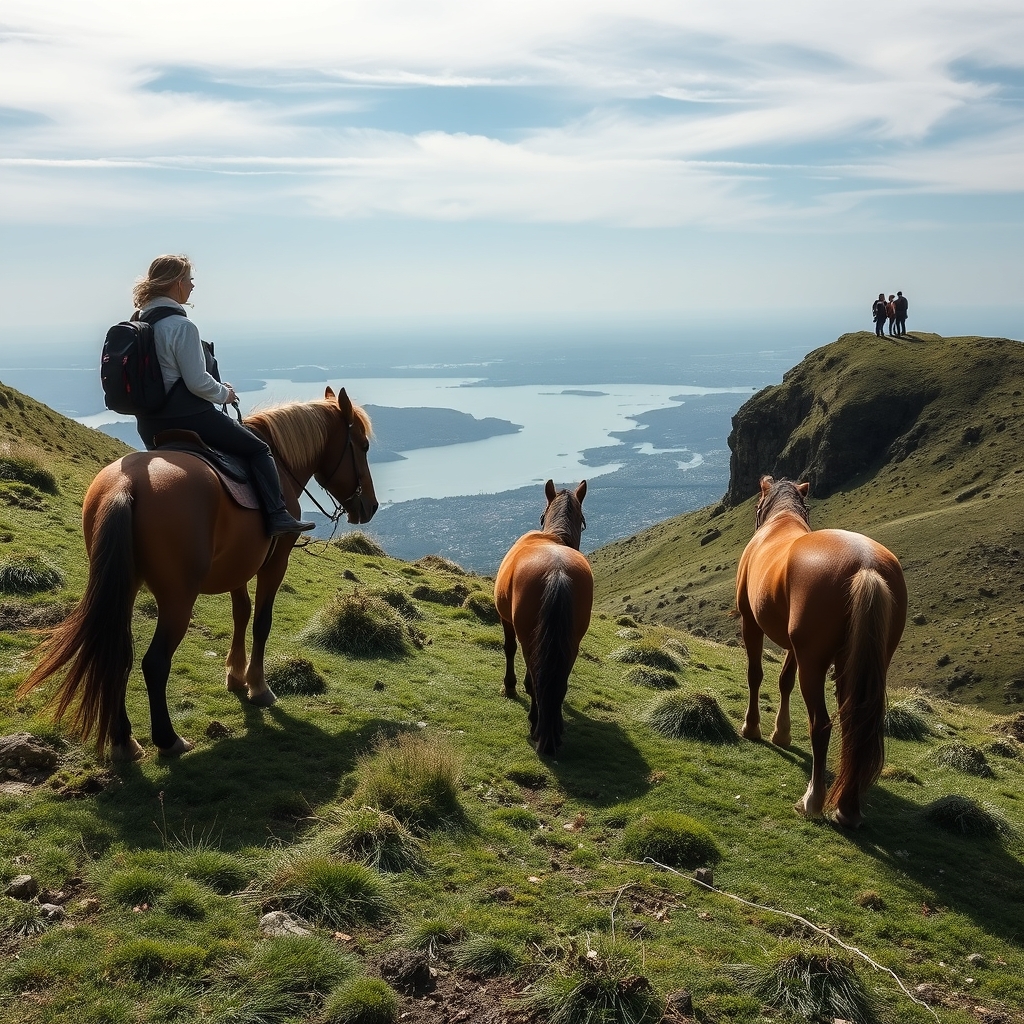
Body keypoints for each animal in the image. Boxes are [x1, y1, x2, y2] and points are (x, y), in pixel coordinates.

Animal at [19, 387, 377, 761]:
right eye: (363, 445)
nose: (371, 506)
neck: (279, 464)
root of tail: (125, 485)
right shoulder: (275, 561)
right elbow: (261, 622)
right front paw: (258, 686)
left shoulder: (238, 564)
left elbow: (241, 613)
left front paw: (236, 675)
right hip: (178, 598)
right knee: (154, 662)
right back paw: (168, 739)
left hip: (124, 586)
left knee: (118, 655)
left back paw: (124, 741)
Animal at [494, 479, 592, 755]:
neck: (554, 538)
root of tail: (557, 571)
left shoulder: (506, 620)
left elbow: (508, 649)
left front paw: (510, 686)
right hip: (572, 641)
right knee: (559, 679)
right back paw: (554, 727)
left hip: (530, 640)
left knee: (535, 677)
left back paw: (537, 723)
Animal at [735, 476, 907, 827]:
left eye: (757, 506)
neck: (780, 523)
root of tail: (866, 565)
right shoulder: (793, 647)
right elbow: (784, 681)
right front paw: (781, 733)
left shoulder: (751, 624)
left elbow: (756, 675)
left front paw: (753, 727)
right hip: (858, 664)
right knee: (855, 723)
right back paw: (847, 808)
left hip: (814, 664)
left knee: (822, 725)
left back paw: (813, 800)